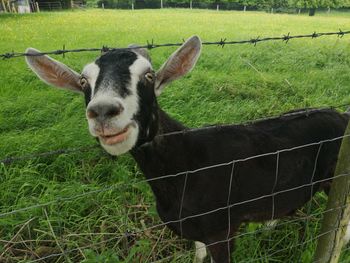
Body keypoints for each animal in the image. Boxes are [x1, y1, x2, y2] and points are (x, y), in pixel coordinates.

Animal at [26, 36, 348, 263]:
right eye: (83, 81)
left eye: (149, 76)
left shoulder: (221, 230)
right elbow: (198, 253)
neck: (185, 165)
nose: (103, 111)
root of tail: (342, 116)